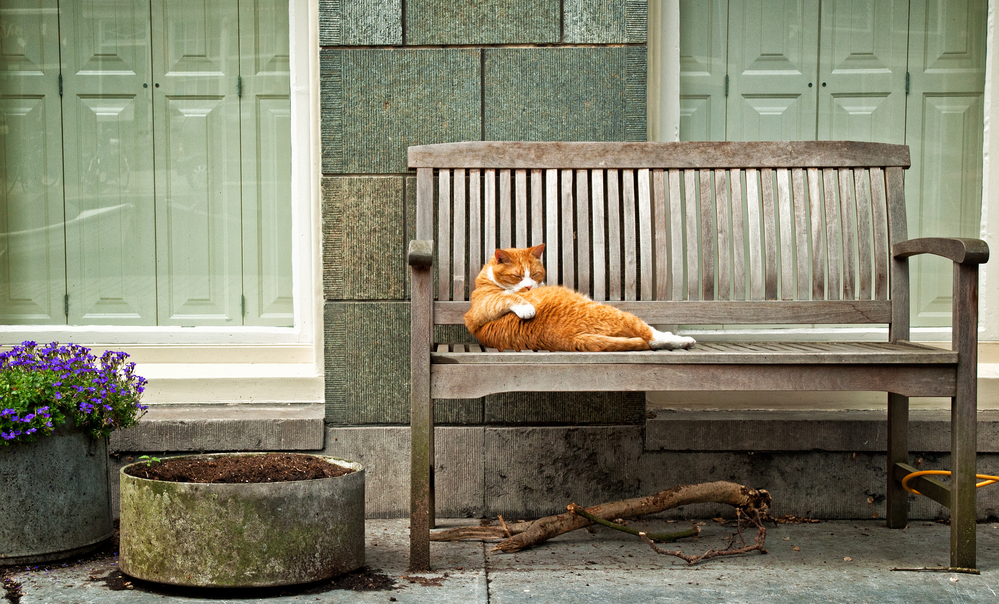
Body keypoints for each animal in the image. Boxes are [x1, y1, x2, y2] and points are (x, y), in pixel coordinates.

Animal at [462, 243, 692, 352]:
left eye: (535, 274)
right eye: (517, 276)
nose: (528, 286)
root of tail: (568, 338)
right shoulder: (479, 309)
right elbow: (506, 297)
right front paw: (525, 305)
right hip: (614, 314)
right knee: (651, 336)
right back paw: (683, 340)